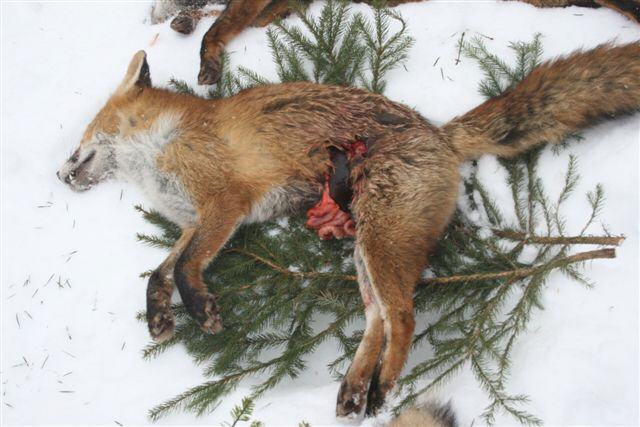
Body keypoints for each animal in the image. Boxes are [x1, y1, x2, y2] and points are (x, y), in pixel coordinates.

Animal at [56, 42, 640, 417]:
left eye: (79, 137)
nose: (60, 175)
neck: (163, 144)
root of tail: (441, 135)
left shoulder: (224, 204)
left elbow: (183, 268)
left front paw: (200, 310)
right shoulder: (195, 221)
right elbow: (159, 271)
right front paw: (159, 317)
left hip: (379, 239)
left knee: (402, 315)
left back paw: (383, 387)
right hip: (365, 245)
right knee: (378, 316)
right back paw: (357, 387)